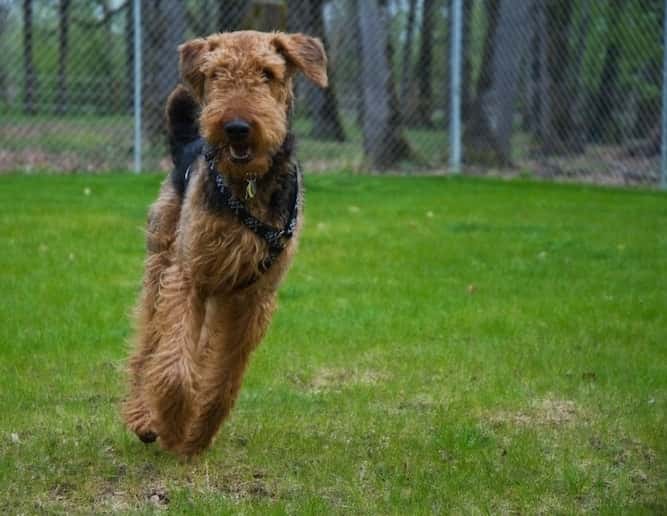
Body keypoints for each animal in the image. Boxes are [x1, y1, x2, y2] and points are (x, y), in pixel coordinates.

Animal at [122, 30, 328, 456]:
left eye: (268, 73)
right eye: (216, 74)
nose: (236, 127)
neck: (247, 185)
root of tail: (184, 144)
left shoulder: (254, 298)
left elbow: (223, 378)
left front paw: (199, 432)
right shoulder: (189, 277)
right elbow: (174, 367)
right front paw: (173, 426)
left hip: (220, 296)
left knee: (197, 351)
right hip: (162, 268)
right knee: (148, 346)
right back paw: (142, 415)